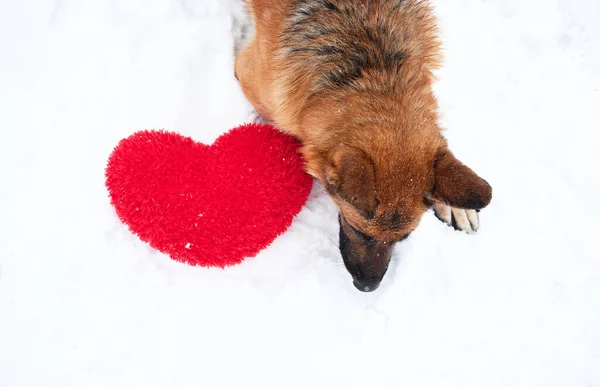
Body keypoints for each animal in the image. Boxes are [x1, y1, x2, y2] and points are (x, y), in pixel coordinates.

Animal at [234, 0, 492, 292]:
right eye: (358, 230)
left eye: (404, 237)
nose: (367, 286)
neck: (372, 62)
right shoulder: (250, 76)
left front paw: (457, 206)